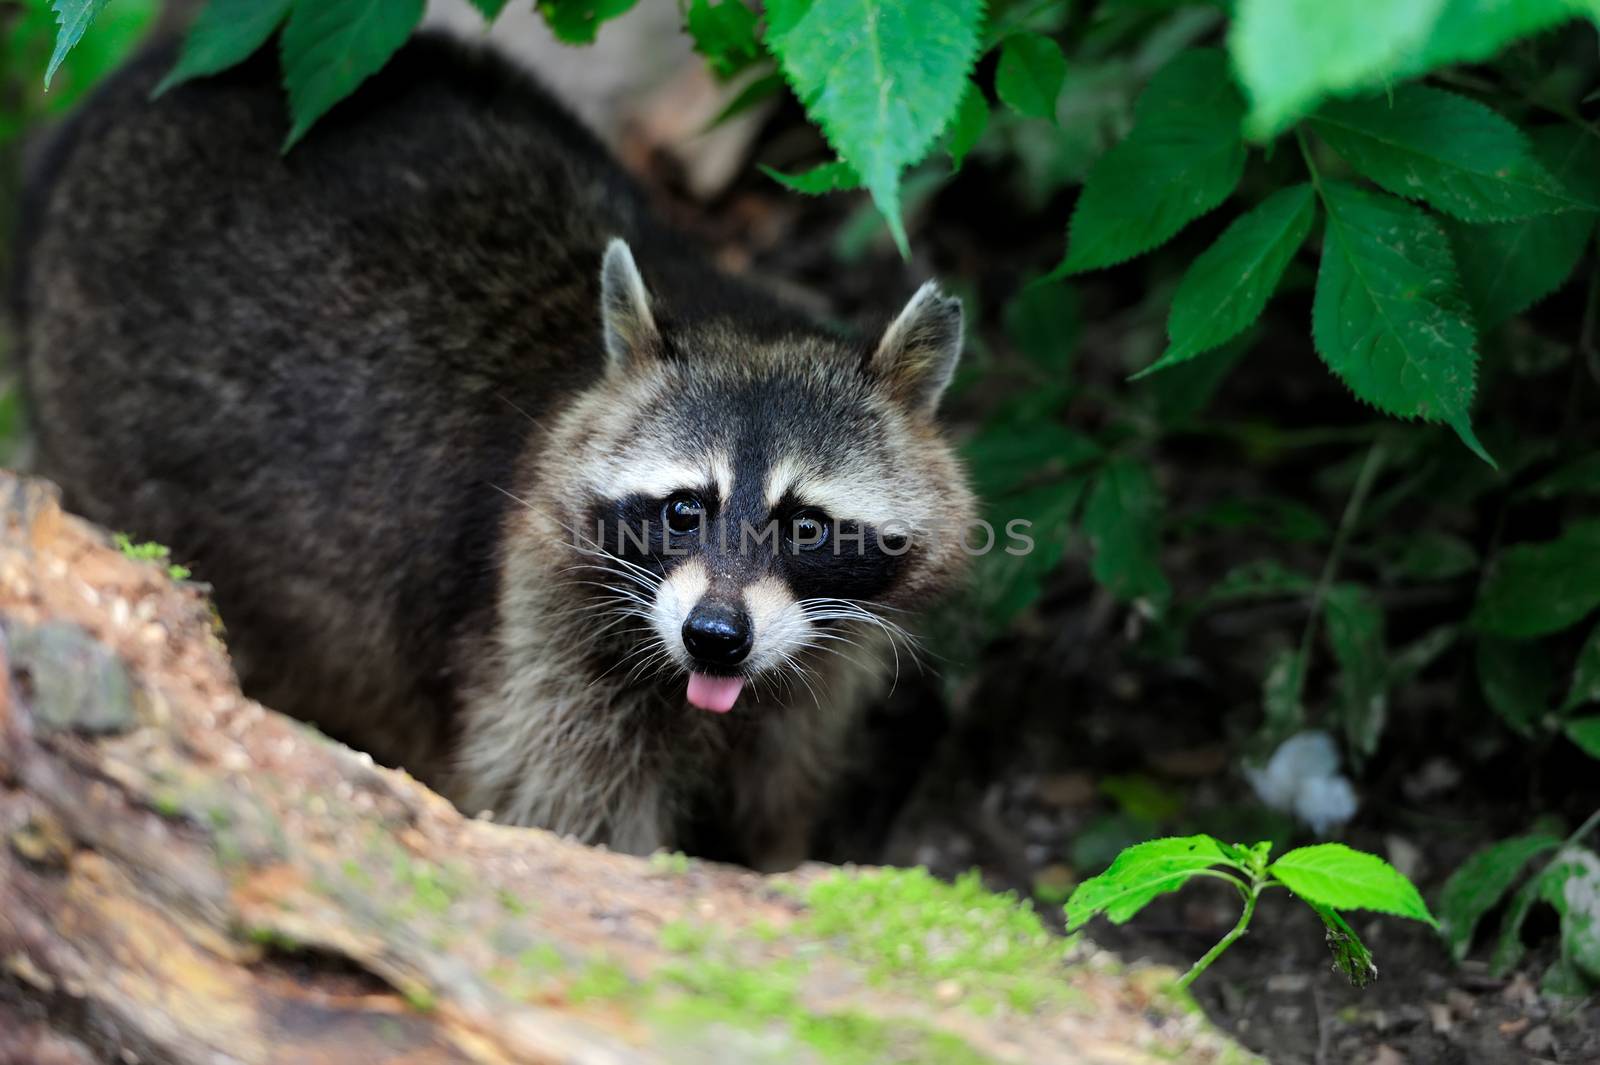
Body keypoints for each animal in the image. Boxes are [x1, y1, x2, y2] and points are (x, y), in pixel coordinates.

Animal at [12, 33, 972, 869]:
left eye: (806, 526)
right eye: (683, 509)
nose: (714, 638)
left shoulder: (819, 669)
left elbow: (778, 794)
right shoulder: (535, 628)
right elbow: (564, 815)